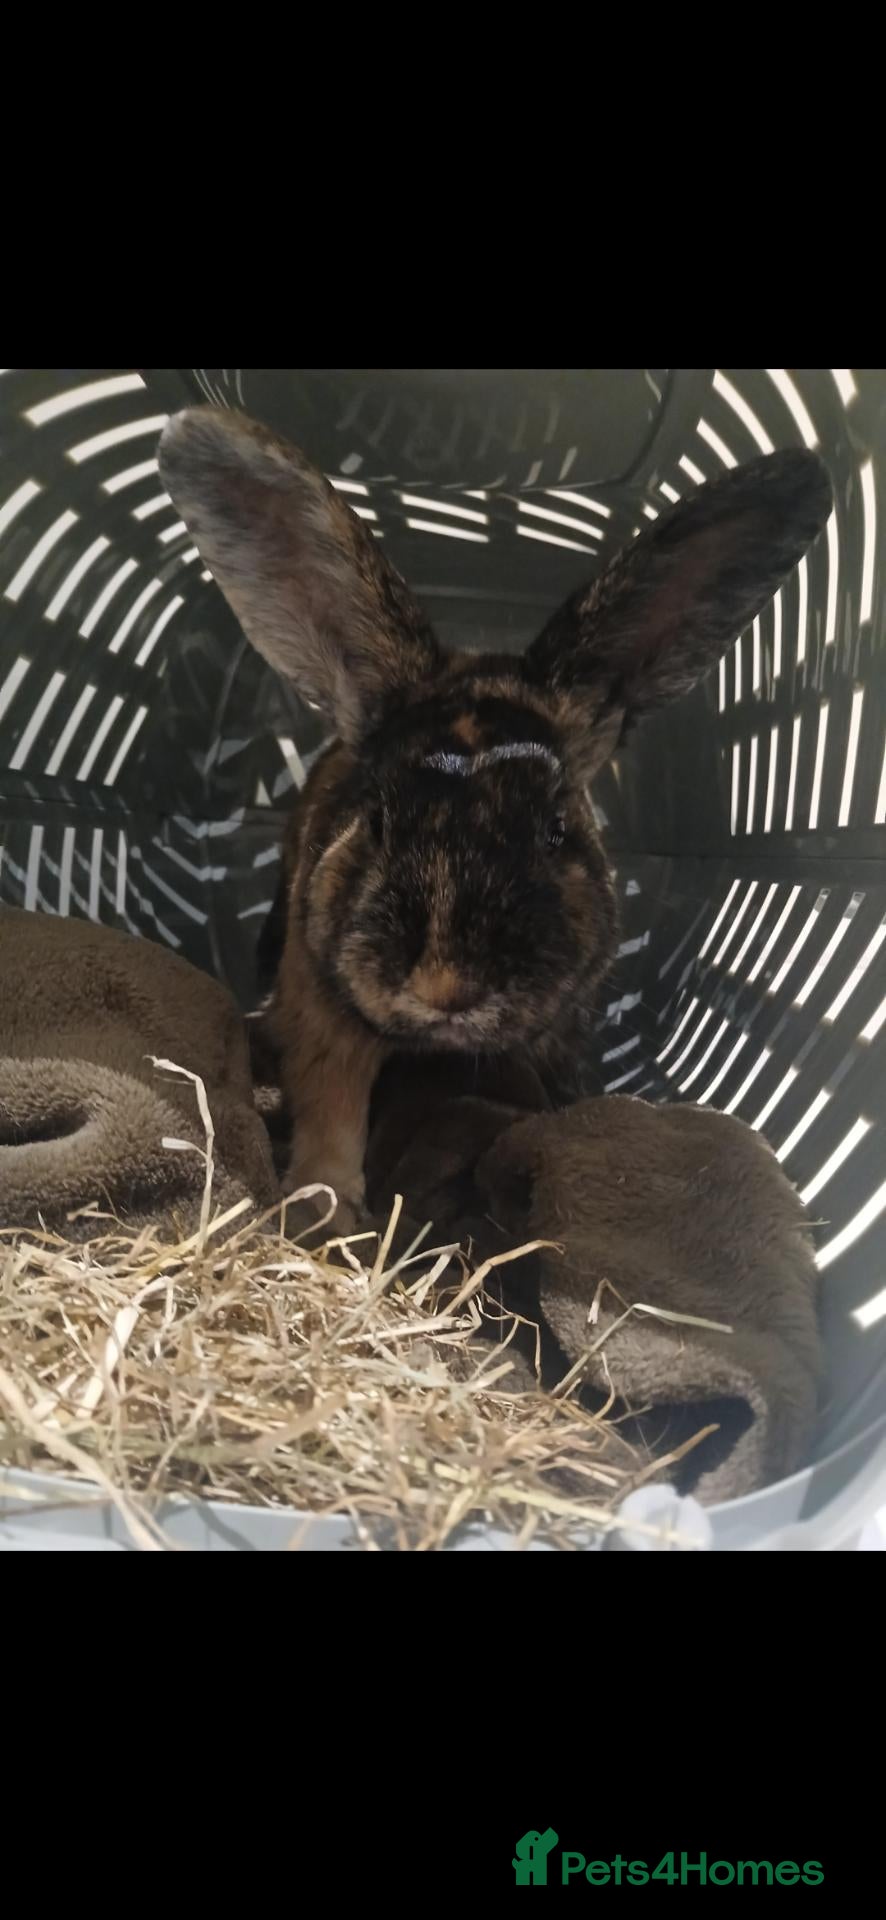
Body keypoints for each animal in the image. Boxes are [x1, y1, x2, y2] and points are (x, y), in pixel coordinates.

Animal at [159, 408, 832, 1232]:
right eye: (377, 820)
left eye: (555, 830)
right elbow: (332, 1110)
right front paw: (325, 1209)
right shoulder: (323, 1014)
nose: (448, 987)